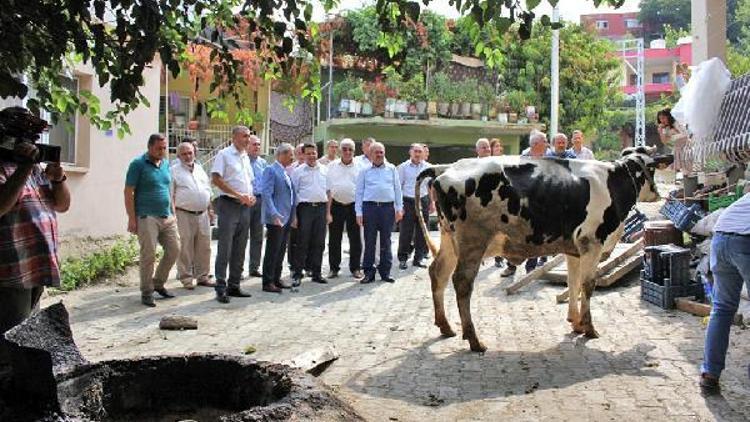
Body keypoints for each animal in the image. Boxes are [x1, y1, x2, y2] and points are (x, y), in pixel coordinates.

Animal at [418, 147, 676, 352]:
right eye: (652, 168)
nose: (657, 193)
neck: (613, 181)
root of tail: (446, 169)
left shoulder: (575, 249)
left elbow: (573, 282)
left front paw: (576, 322)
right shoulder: (592, 243)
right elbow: (587, 285)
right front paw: (589, 328)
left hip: (450, 240)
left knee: (438, 273)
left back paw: (445, 326)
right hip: (472, 242)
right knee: (461, 283)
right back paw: (474, 339)